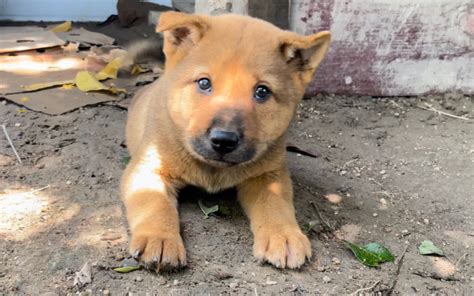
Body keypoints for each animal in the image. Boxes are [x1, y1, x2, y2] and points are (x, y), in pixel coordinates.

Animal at [120, 11, 332, 270]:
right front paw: (159, 238)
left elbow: (276, 204)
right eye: (204, 83)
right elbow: (154, 202)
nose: (223, 141)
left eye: (262, 91)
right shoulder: (147, 170)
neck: (212, 170)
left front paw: (284, 235)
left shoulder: (269, 175)